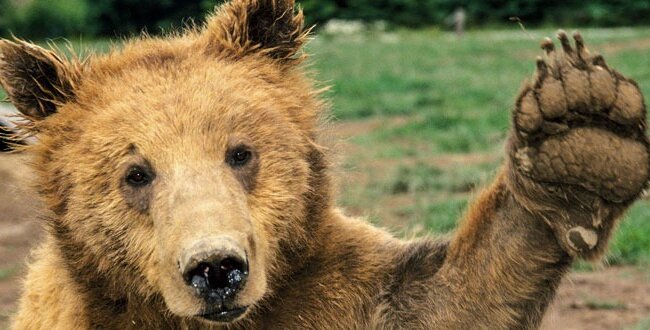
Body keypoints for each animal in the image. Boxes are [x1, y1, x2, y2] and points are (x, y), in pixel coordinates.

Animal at [0, 1, 644, 328]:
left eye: (241, 152)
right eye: (136, 172)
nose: (216, 269)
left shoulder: (330, 288)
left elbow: (448, 299)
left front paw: (582, 136)